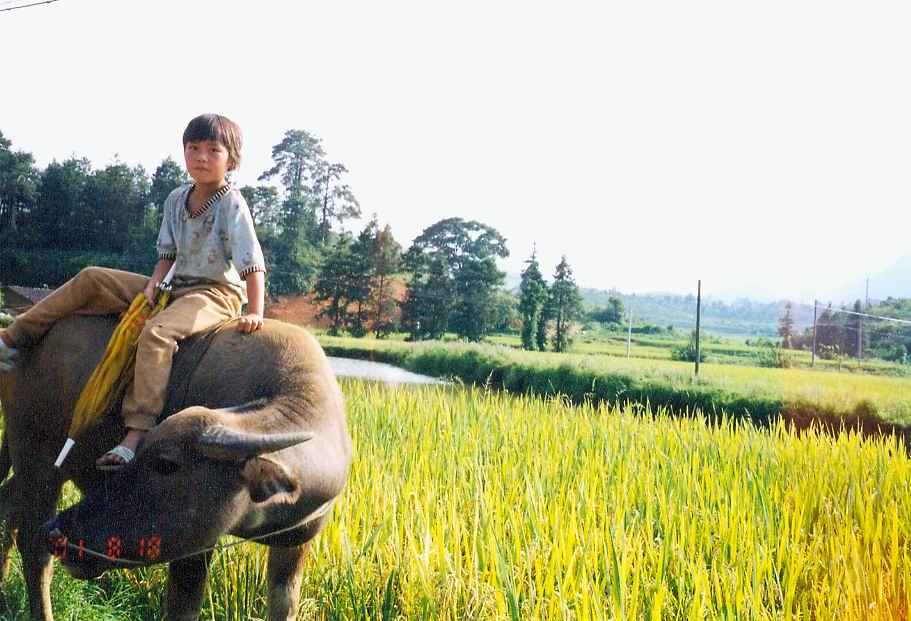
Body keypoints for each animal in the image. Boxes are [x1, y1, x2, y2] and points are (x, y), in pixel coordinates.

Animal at [0, 314, 352, 620]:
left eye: (165, 464)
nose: (59, 531)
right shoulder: (194, 548)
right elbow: (184, 608)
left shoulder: (294, 545)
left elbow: (284, 606)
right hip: (35, 458)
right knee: (33, 547)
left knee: (8, 504)